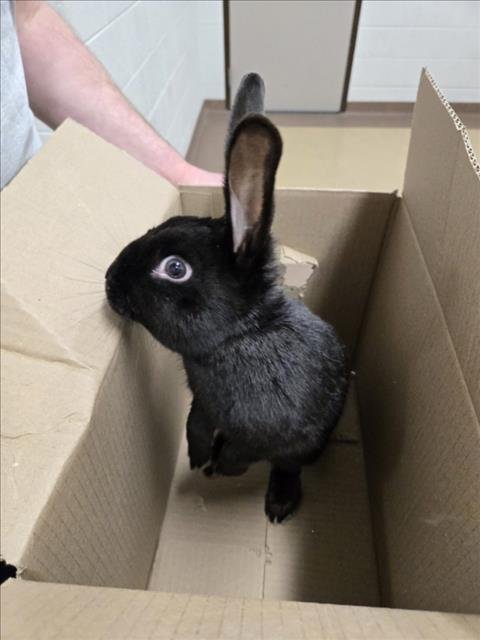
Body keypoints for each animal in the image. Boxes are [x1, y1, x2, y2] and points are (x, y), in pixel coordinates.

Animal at [105, 73, 349, 523]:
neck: (238, 338)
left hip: (308, 444)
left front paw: (222, 467)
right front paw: (199, 457)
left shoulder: (273, 431)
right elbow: (195, 423)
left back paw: (278, 504)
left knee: (288, 466)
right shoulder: (202, 402)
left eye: (175, 268)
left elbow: (246, 450)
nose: (110, 280)